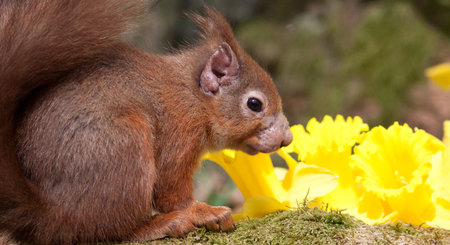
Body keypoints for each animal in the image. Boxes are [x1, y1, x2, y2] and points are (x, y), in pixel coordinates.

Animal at [0, 0, 292, 243]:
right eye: (255, 104)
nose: (287, 139)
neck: (194, 97)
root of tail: (49, 214)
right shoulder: (181, 130)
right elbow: (171, 190)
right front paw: (201, 211)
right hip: (125, 144)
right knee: (110, 230)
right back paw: (161, 225)